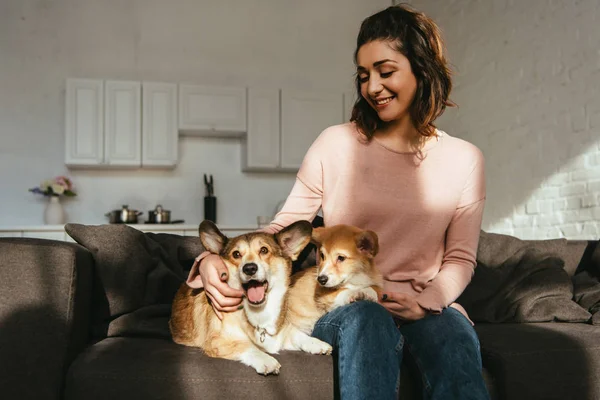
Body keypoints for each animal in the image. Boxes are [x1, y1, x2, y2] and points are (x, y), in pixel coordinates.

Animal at [169, 222, 332, 376]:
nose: (249, 268)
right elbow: (248, 346)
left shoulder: (280, 335)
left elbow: (297, 334)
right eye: (236, 254)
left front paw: (317, 343)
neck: (259, 312)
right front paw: (267, 360)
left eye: (264, 250)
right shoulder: (218, 341)